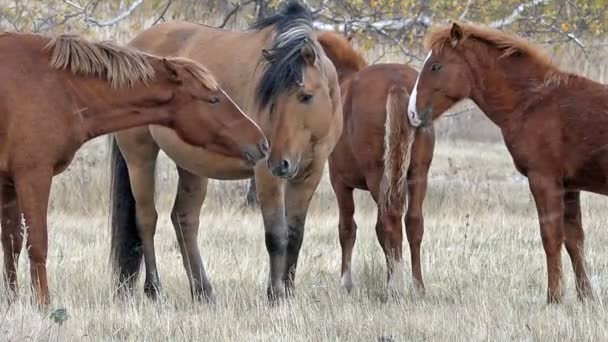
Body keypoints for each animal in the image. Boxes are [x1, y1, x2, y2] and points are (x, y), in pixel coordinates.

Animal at [0, 31, 266, 308]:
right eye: (213, 99)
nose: (262, 142)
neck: (57, 87)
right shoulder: (33, 177)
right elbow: (37, 243)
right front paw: (43, 304)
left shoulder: (8, 182)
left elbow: (12, 241)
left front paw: (11, 301)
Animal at [108, 1, 342, 304]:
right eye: (271, 99)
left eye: (306, 96)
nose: (280, 163)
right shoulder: (266, 175)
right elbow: (276, 236)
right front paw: (275, 296)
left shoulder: (310, 173)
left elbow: (295, 235)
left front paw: (288, 292)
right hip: (140, 157)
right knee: (147, 219)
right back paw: (153, 289)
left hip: (192, 165)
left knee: (184, 220)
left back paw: (203, 292)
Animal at [316, 32, 440, 294]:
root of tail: (396, 84)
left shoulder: (339, 182)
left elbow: (347, 228)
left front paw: (346, 282)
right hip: (418, 176)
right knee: (413, 222)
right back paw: (417, 287)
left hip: (377, 178)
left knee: (390, 222)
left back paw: (394, 287)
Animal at [408, 22, 604, 304]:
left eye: (435, 66)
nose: (412, 113)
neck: (531, 102)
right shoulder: (569, 187)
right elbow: (574, 241)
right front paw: (585, 297)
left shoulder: (544, 180)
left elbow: (551, 237)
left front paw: (554, 297)